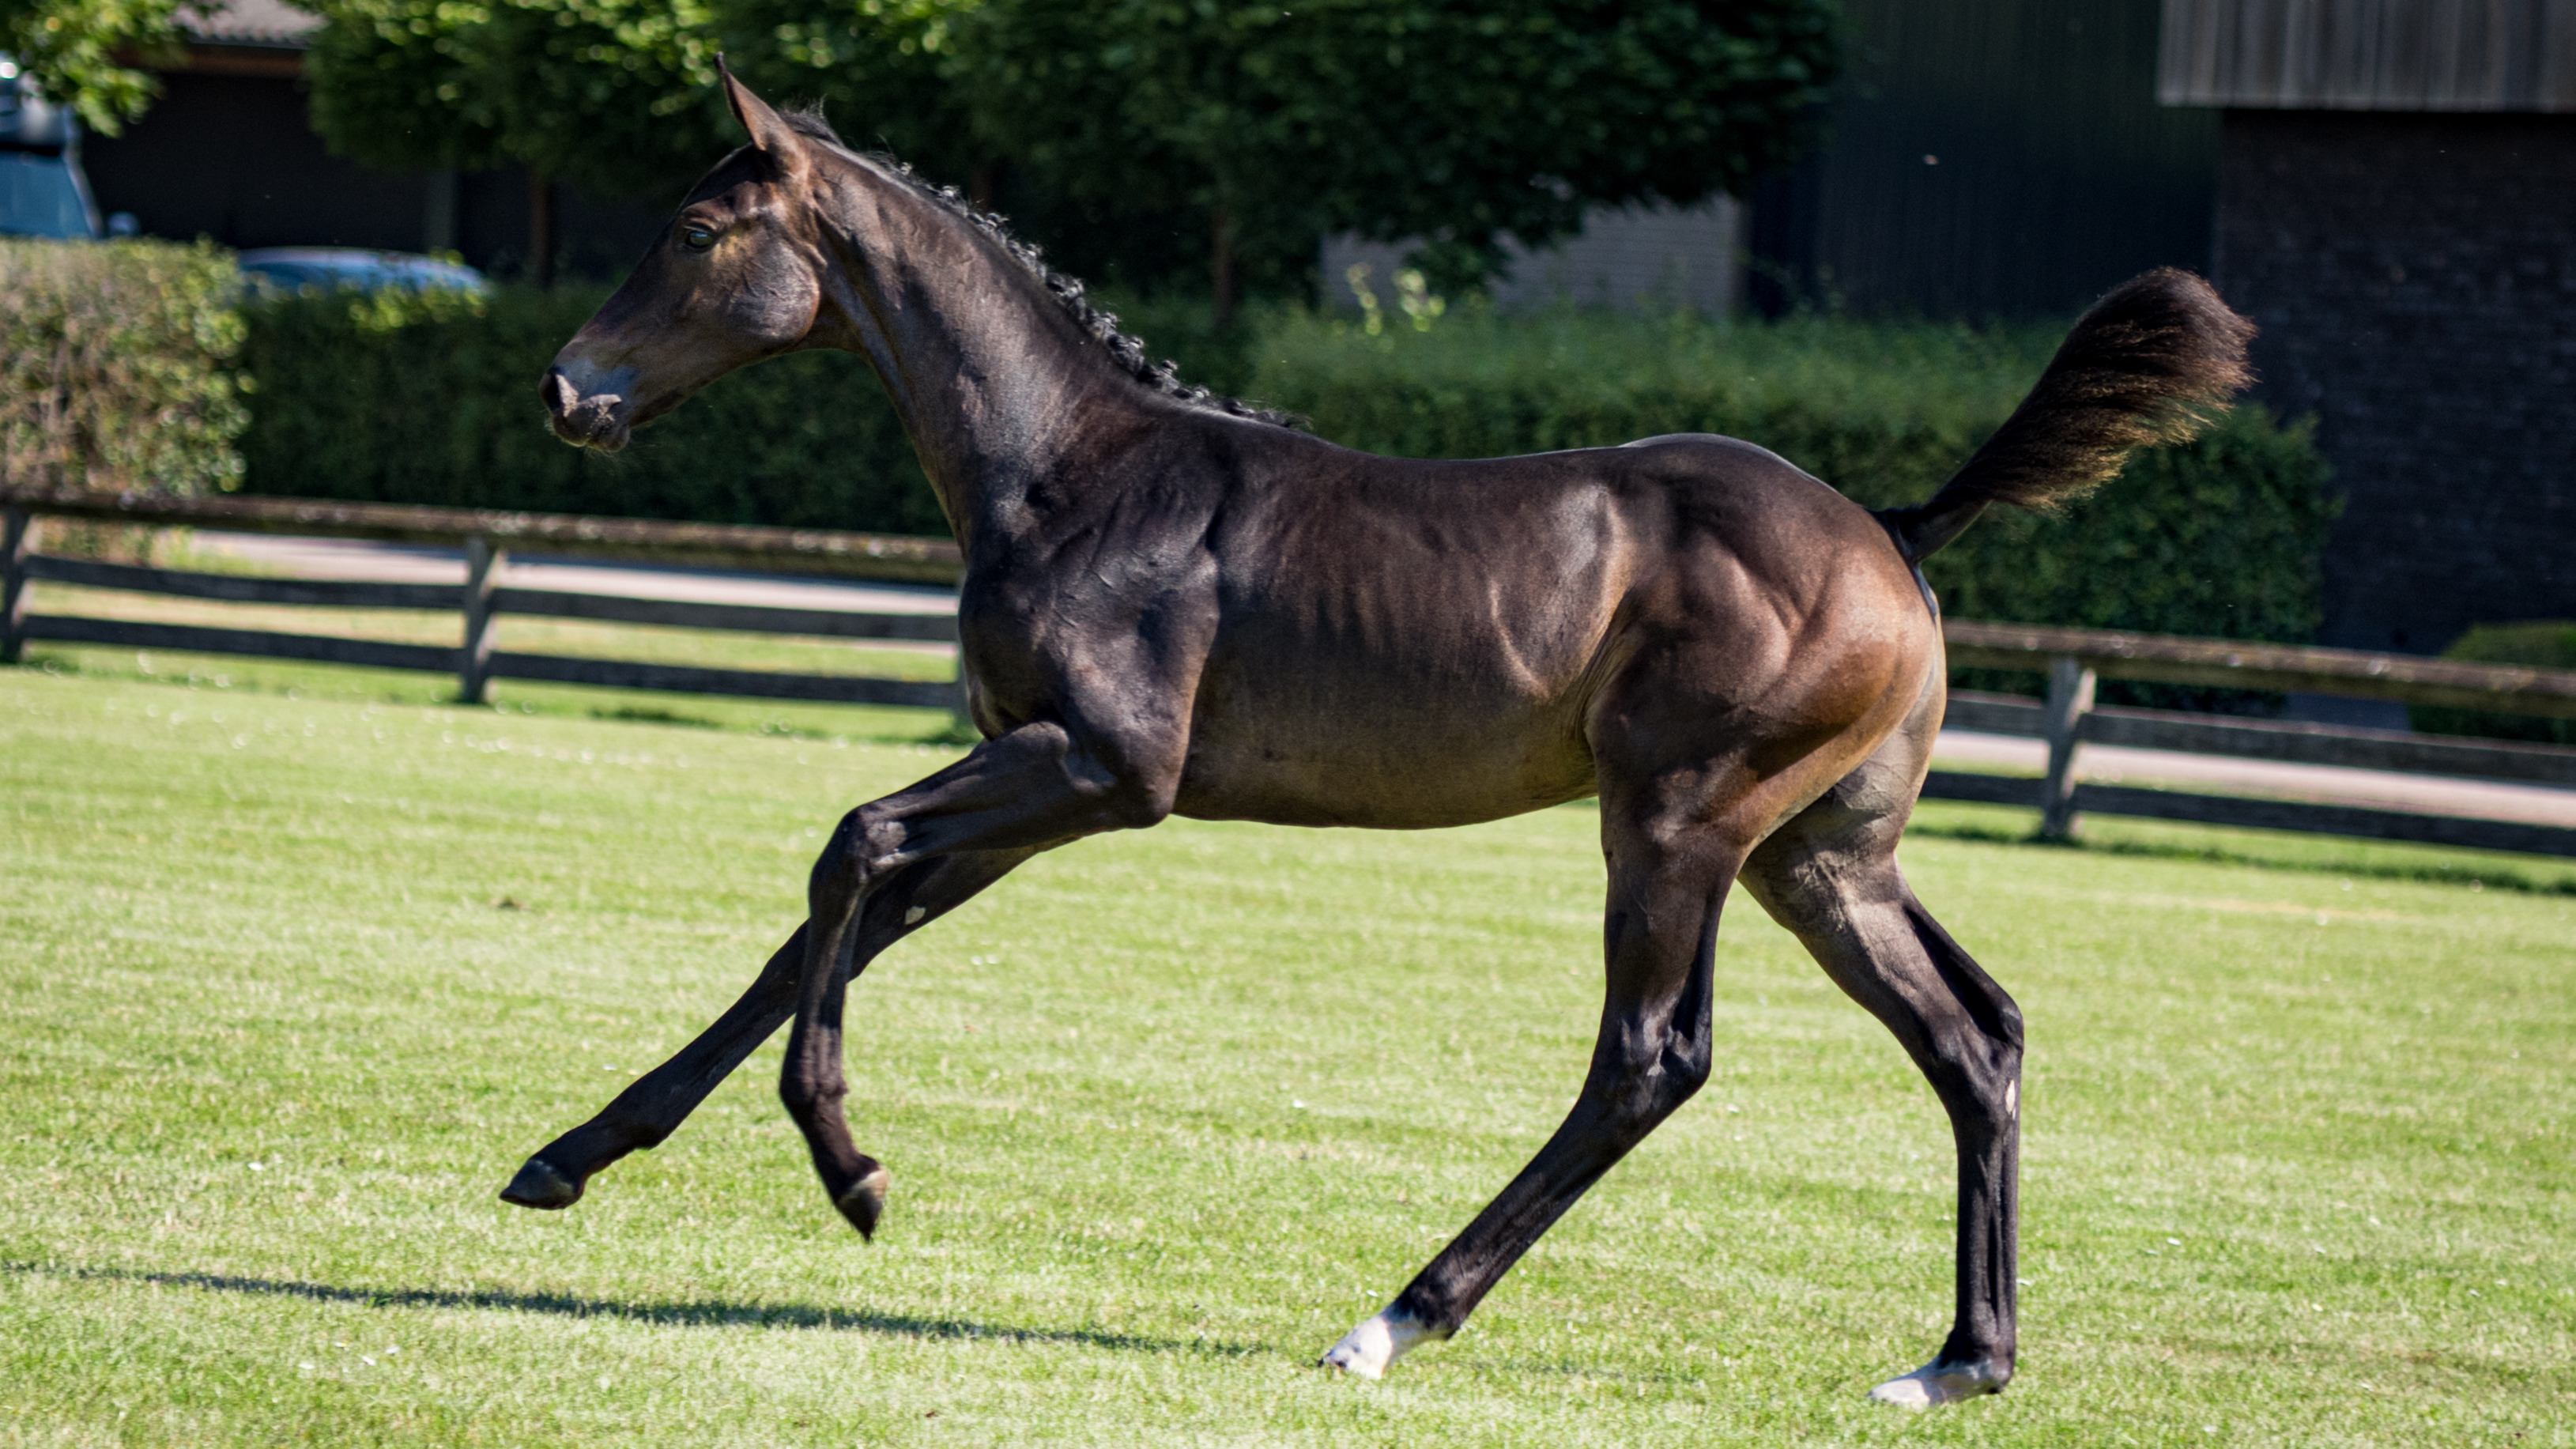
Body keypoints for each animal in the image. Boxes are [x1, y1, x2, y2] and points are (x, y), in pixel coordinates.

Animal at [516, 63, 2253, 1407]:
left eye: (694, 231)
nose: (563, 391)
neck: (1071, 469)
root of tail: (1894, 530)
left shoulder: (1101, 767)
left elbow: (849, 847)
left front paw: (852, 1171)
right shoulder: (1030, 776)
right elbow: (830, 924)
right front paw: (571, 1153)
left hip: (1678, 820)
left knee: (1651, 1057)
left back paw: (1394, 1317)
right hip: (1821, 857)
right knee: (1974, 1035)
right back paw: (1959, 1359)